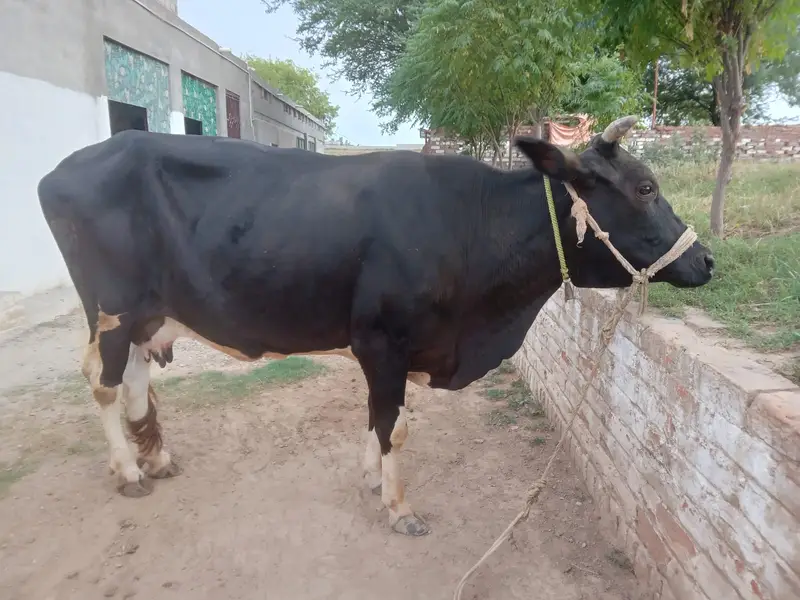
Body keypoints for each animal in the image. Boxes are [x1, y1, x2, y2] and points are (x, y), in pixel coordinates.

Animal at [37, 116, 714, 536]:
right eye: (645, 187)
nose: (706, 260)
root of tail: (68, 165)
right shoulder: (384, 341)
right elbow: (394, 426)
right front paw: (398, 507)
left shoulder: (395, 350)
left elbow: (379, 420)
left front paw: (370, 478)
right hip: (112, 309)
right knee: (103, 383)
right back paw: (129, 472)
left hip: (147, 312)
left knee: (133, 380)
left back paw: (156, 459)